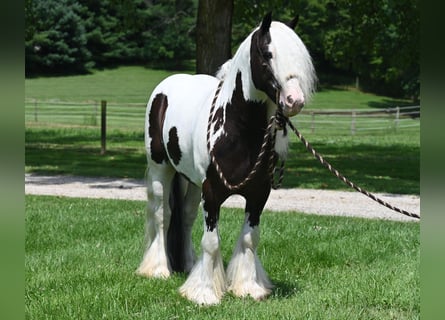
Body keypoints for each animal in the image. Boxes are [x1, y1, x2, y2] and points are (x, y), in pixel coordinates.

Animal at [137, 13, 314, 304]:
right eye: (268, 54)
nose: (294, 100)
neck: (236, 130)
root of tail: (166, 86)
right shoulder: (212, 193)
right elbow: (211, 242)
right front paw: (204, 293)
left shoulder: (258, 194)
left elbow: (250, 239)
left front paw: (248, 288)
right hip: (161, 170)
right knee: (163, 214)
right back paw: (159, 269)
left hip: (191, 181)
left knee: (185, 218)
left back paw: (188, 266)